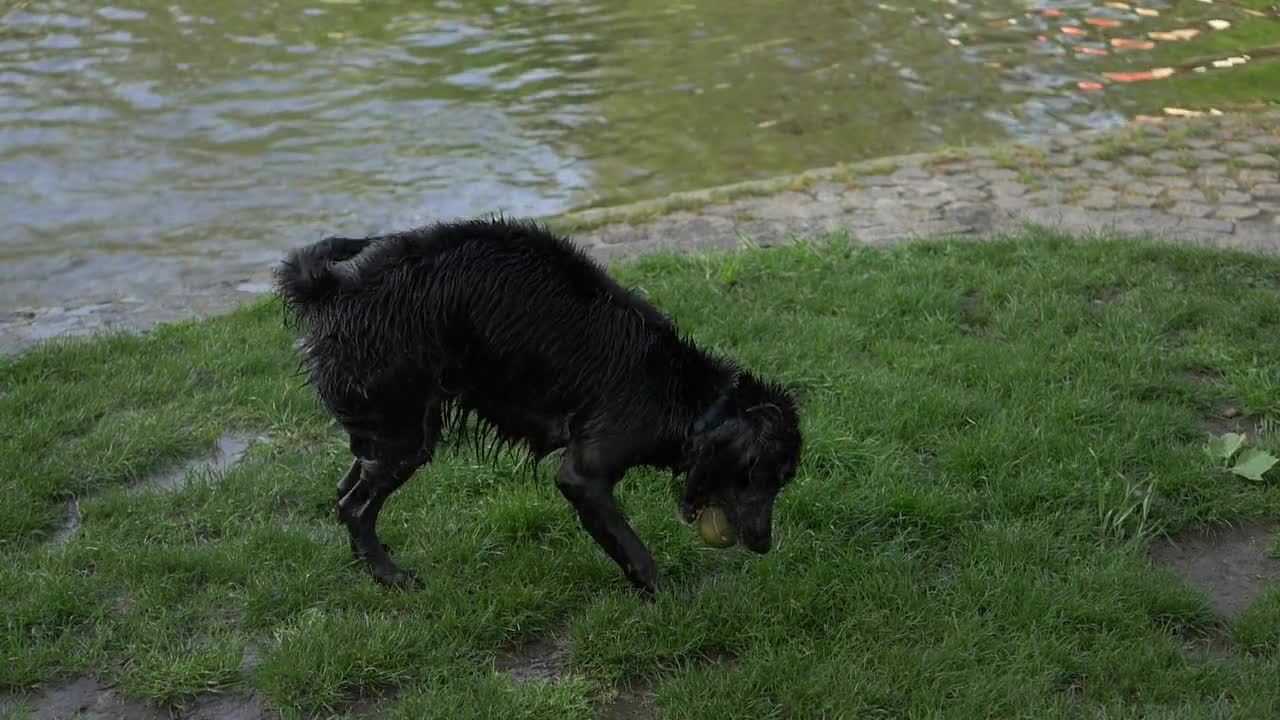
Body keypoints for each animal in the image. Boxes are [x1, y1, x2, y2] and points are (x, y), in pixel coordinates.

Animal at [272, 213, 798, 594]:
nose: (765, 544)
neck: (678, 392)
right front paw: (665, 596)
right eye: (757, 476)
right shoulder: (583, 475)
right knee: (356, 506)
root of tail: (335, 289)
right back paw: (390, 576)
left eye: (782, 481)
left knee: (344, 493)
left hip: (387, 430)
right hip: (403, 432)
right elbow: (632, 548)